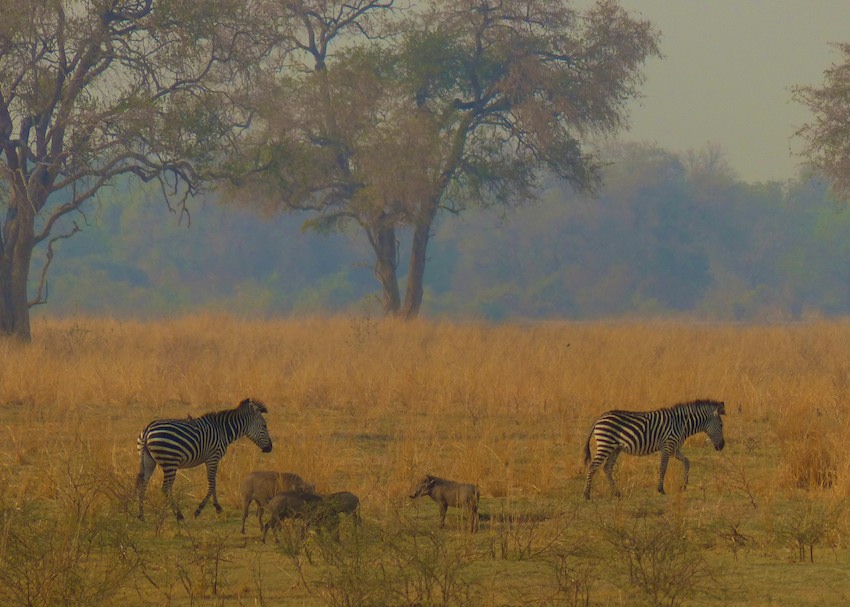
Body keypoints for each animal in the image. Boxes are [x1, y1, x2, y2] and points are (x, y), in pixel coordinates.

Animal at [136, 397, 273, 521]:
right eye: (264, 426)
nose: (270, 448)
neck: (223, 431)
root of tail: (148, 429)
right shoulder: (213, 457)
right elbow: (212, 484)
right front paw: (201, 510)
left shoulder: (210, 459)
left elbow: (214, 483)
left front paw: (217, 507)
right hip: (170, 462)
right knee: (165, 488)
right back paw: (178, 515)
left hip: (149, 461)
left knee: (143, 484)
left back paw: (141, 515)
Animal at [582, 399, 726, 500]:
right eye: (721, 425)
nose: (722, 446)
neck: (681, 424)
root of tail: (600, 417)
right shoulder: (667, 446)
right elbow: (663, 468)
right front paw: (660, 489)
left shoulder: (674, 449)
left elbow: (687, 461)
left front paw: (684, 485)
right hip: (605, 444)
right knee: (593, 466)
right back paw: (586, 494)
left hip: (615, 448)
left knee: (607, 468)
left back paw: (617, 493)